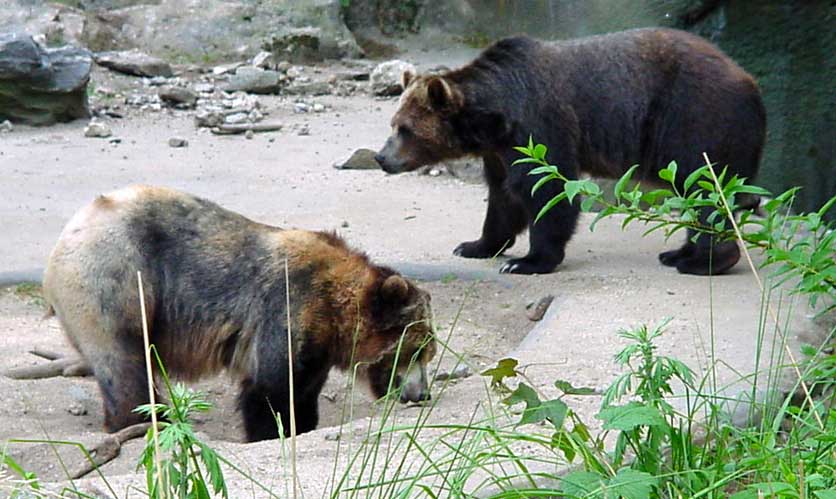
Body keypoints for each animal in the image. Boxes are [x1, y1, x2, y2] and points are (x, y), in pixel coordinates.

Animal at [43, 185, 436, 442]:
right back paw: (147, 420)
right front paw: (273, 430)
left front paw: (303, 423)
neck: (334, 311)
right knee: (124, 362)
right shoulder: (287, 305)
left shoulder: (318, 346)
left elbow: (304, 389)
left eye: (429, 353)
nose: (422, 394)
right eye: (417, 350)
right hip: (115, 277)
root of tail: (66, 235)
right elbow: (271, 388)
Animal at [375, 28, 766, 275]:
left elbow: (548, 189)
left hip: (695, 119)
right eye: (393, 123)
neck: (494, 117)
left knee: (706, 191)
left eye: (405, 129)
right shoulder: (499, 151)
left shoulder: (540, 123)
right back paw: (676, 252)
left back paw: (702, 262)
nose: (381, 157)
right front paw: (475, 244)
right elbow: (502, 198)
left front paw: (527, 261)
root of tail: (752, 83)